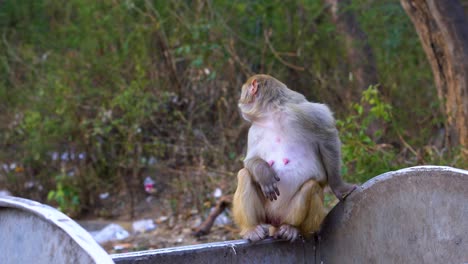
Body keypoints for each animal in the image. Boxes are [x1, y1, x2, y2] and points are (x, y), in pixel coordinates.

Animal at [232, 73, 356, 241]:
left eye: (243, 91)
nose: (240, 100)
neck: (271, 114)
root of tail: (275, 221)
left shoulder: (305, 112)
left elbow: (328, 137)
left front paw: (338, 186)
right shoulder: (254, 130)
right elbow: (249, 160)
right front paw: (263, 173)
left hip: (287, 214)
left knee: (312, 187)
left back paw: (293, 228)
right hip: (266, 213)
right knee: (244, 174)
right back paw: (251, 228)